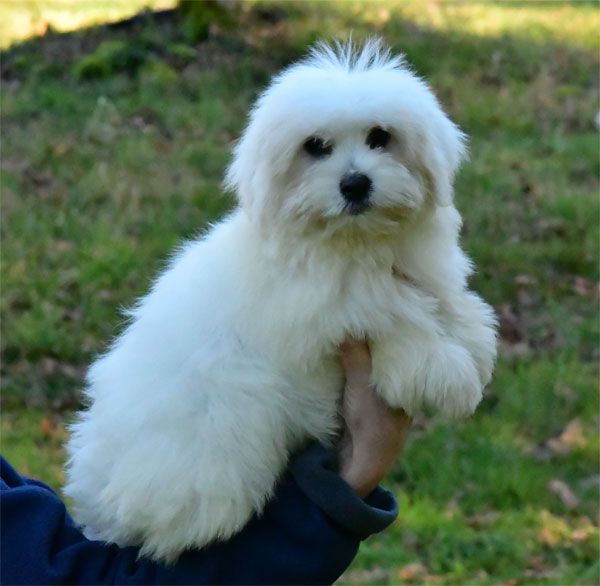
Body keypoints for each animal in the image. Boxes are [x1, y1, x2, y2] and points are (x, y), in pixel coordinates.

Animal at [64, 38, 496, 560]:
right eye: (315, 146)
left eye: (380, 136)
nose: (355, 183)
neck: (354, 243)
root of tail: (99, 502)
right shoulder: (327, 308)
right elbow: (395, 313)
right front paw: (444, 371)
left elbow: (443, 299)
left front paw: (473, 337)